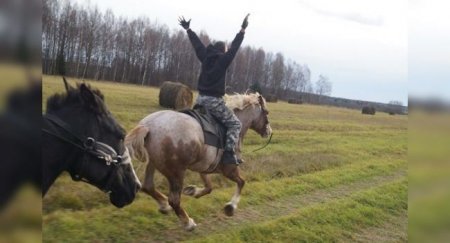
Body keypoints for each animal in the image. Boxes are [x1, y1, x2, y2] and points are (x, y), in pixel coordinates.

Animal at [126, 92, 272, 230]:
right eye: (266, 112)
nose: (268, 131)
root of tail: (148, 126)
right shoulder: (230, 169)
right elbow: (241, 182)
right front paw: (230, 207)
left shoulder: (204, 167)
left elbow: (209, 187)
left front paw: (193, 191)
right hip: (176, 172)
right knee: (174, 200)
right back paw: (188, 223)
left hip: (153, 163)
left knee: (148, 186)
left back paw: (164, 205)